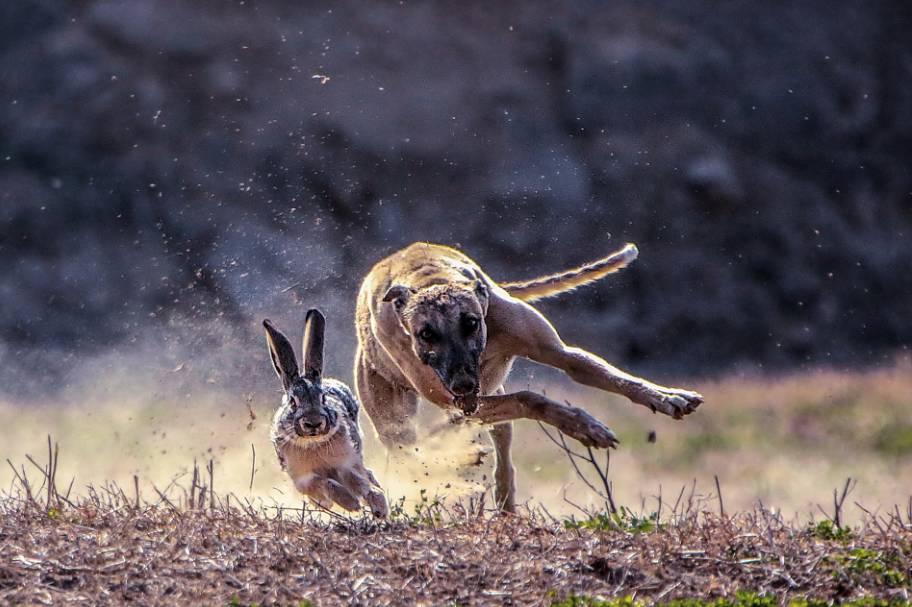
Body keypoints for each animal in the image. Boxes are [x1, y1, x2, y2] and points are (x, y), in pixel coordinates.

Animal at [352, 240, 700, 510]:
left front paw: (666, 397)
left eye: (471, 322)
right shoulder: (459, 401)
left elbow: (616, 378)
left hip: (486, 408)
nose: (463, 384)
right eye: (425, 334)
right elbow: (529, 398)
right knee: (414, 453)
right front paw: (584, 426)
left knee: (499, 455)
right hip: (397, 422)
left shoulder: (558, 355)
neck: (429, 278)